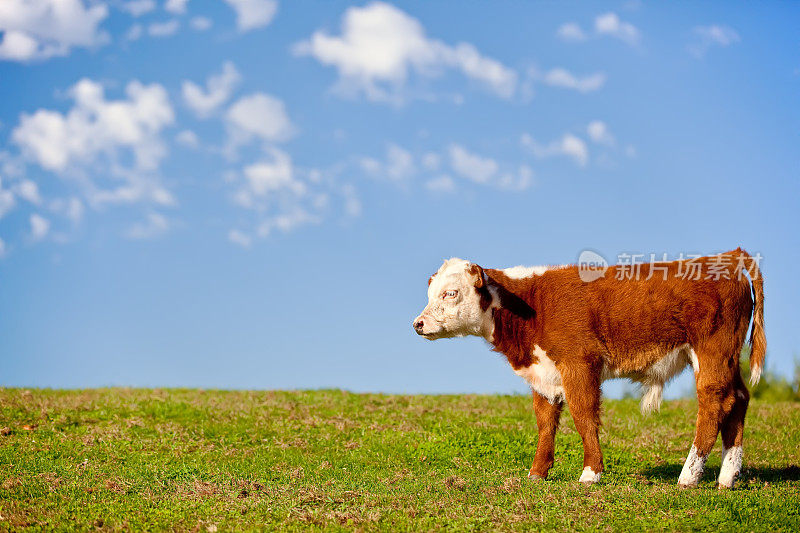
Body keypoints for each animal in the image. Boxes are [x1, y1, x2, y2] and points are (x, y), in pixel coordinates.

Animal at [412, 248, 764, 486]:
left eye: (451, 293)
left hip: (712, 352)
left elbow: (583, 415)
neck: (533, 304)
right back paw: (727, 476)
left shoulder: (579, 364)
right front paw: (537, 473)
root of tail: (727, 257)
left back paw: (689, 476)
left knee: (714, 404)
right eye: (430, 294)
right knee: (739, 399)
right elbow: (545, 422)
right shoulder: (543, 374)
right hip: (729, 358)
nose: (418, 323)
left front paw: (591, 472)